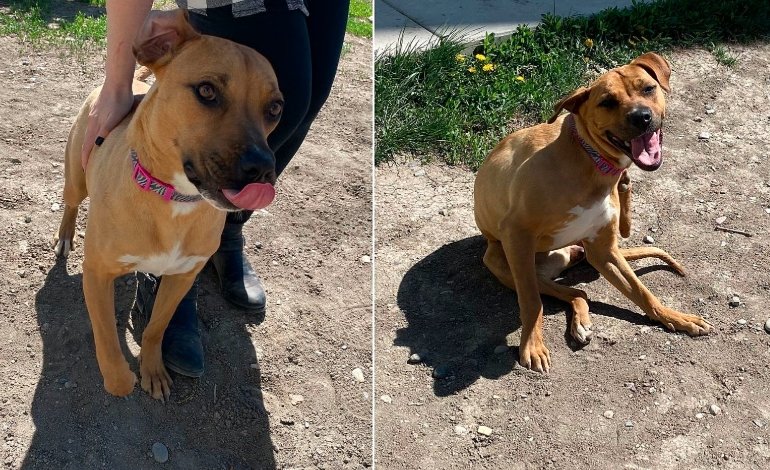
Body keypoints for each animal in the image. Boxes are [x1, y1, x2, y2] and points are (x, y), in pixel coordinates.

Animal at [53, 10, 282, 400]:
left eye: (275, 108)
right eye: (206, 91)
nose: (263, 168)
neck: (174, 199)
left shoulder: (181, 278)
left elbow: (156, 328)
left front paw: (153, 369)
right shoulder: (97, 273)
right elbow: (106, 338)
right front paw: (120, 379)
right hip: (76, 180)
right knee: (70, 204)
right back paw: (65, 237)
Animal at [472, 53, 712, 372]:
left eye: (648, 88)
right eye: (607, 102)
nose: (641, 117)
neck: (591, 162)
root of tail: (572, 250)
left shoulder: (604, 251)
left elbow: (641, 291)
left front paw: (674, 317)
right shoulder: (517, 235)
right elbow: (531, 303)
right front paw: (532, 345)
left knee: (579, 292)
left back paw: (581, 322)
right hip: (505, 261)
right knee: (562, 292)